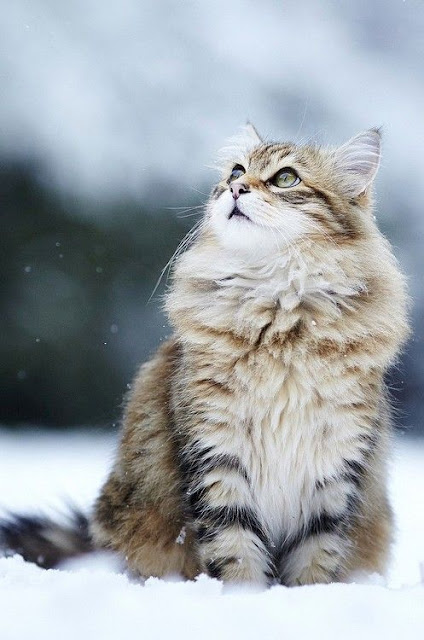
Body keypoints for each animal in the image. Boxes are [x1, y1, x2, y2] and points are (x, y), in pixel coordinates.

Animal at [0, 125, 410, 584]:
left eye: (286, 178)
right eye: (237, 171)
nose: (235, 188)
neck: (279, 316)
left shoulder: (336, 466)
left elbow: (315, 560)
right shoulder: (216, 453)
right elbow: (235, 552)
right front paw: (243, 596)